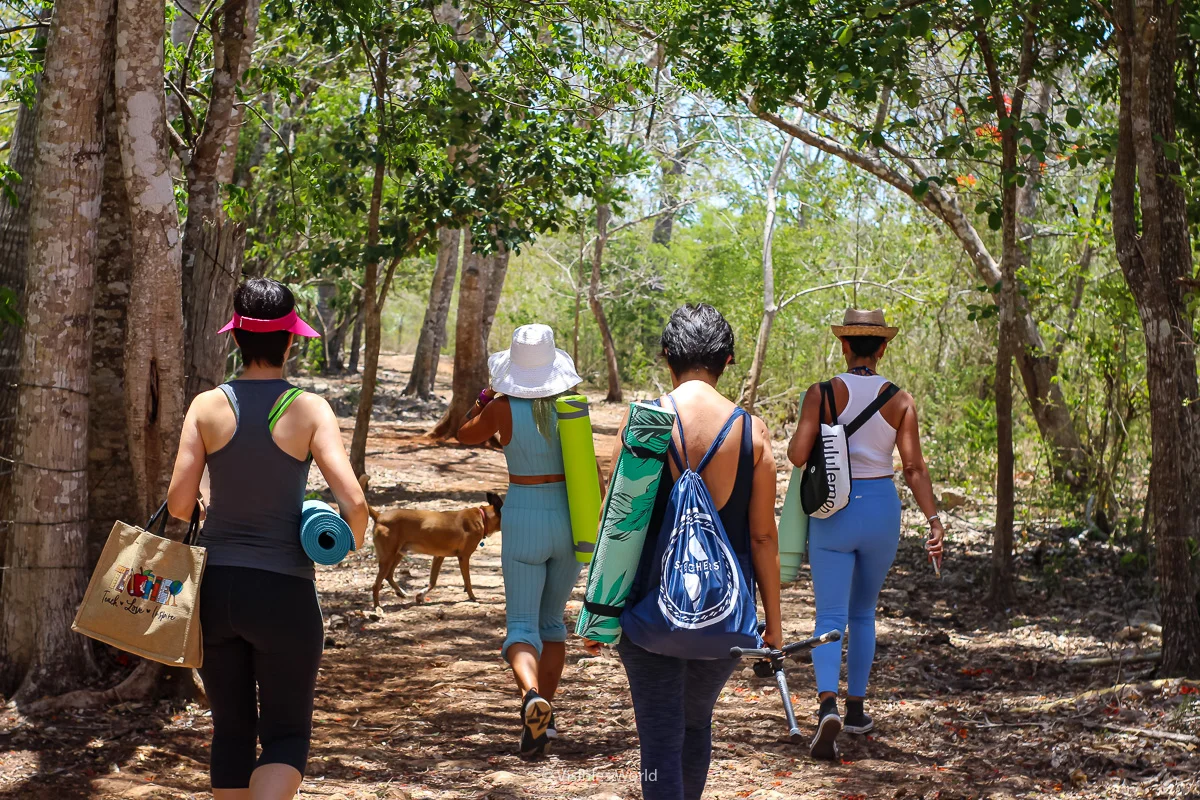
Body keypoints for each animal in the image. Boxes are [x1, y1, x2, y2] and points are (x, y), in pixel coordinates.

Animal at [360, 475, 504, 608]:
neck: (483, 518)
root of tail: (380, 516)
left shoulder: (439, 556)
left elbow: (433, 582)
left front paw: (420, 596)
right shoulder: (464, 557)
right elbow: (467, 581)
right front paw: (473, 597)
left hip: (398, 554)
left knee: (388, 576)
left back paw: (401, 593)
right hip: (388, 557)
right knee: (376, 584)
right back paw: (377, 607)